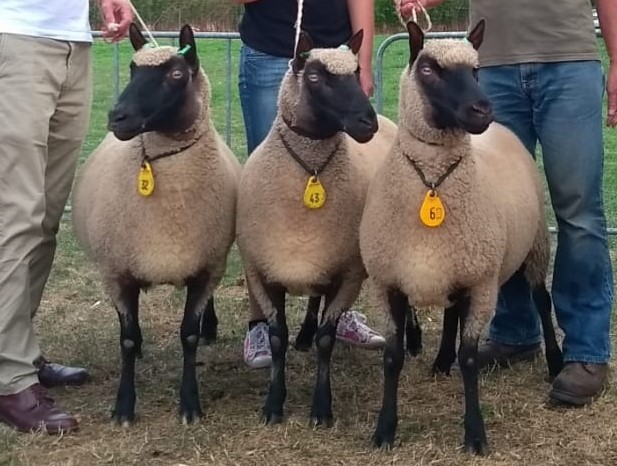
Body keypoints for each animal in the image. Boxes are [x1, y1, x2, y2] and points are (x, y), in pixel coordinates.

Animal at [72, 24, 241, 426]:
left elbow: (188, 336)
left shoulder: (207, 265)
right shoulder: (118, 273)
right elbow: (127, 339)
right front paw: (123, 406)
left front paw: (190, 404)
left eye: (177, 74)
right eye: (133, 69)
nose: (116, 117)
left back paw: (210, 327)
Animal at [235, 31, 400, 428]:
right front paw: (274, 404)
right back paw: (305, 334)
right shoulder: (264, 272)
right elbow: (277, 339)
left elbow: (328, 338)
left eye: (356, 73)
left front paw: (322, 408)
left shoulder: (348, 273)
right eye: (314, 78)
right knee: (313, 297)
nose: (366, 122)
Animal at [358, 21, 564, 456]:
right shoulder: (388, 283)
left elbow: (470, 361)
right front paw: (384, 431)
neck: (433, 183)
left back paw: (557, 364)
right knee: (452, 311)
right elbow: (392, 358)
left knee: (541, 300)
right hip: (460, 266)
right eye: (428, 70)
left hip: (535, 243)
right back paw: (440, 361)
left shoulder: (482, 283)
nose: (483, 110)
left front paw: (475, 434)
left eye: (476, 70)